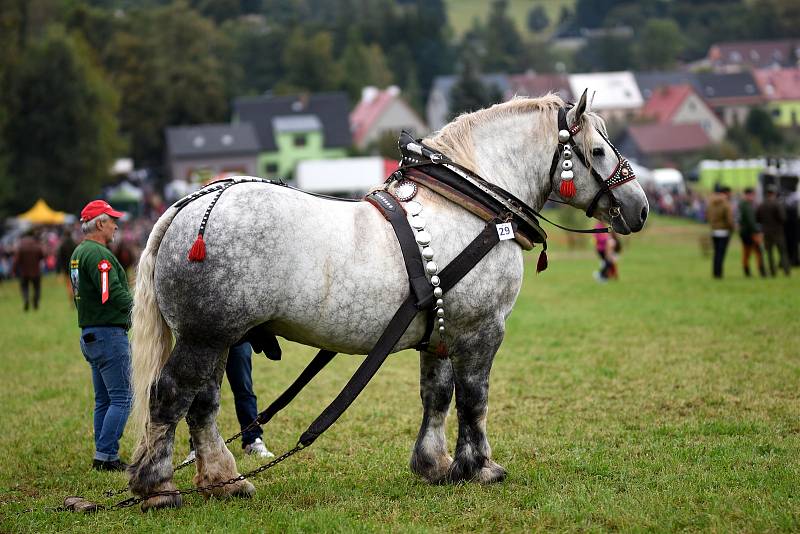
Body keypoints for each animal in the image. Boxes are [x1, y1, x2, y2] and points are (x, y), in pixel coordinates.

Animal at [126, 92, 648, 510]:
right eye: (597, 150)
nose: (640, 208)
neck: (469, 206)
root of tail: (190, 204)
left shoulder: (442, 330)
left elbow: (437, 396)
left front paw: (435, 465)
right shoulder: (481, 329)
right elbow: (474, 398)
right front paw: (480, 466)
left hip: (218, 337)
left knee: (203, 404)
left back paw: (224, 481)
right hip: (205, 336)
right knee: (171, 396)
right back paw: (158, 488)